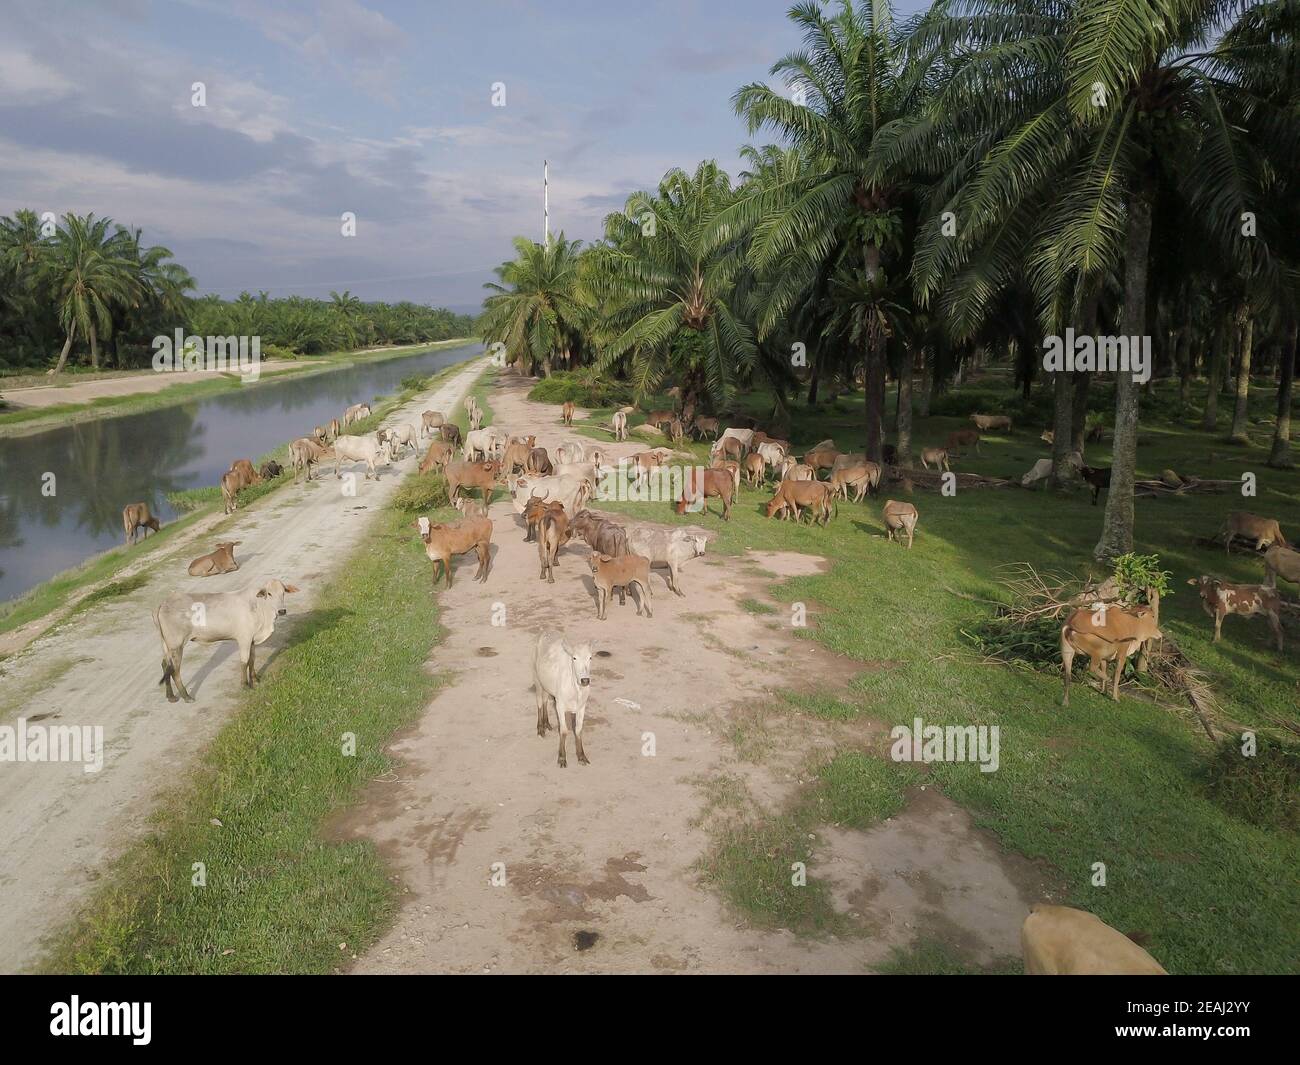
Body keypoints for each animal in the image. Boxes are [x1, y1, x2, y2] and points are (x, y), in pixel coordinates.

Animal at [154, 579, 299, 702]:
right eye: (269, 593)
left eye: (283, 592)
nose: (282, 611)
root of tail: (164, 602)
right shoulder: (244, 638)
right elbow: (244, 661)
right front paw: (245, 685)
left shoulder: (251, 640)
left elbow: (252, 660)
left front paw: (255, 679)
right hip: (177, 645)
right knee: (175, 671)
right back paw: (186, 696)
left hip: (166, 645)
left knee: (165, 664)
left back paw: (171, 696)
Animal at [533, 629, 595, 769]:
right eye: (574, 658)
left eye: (590, 657)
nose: (585, 680)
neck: (576, 690)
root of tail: (547, 631)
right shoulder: (560, 705)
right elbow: (564, 730)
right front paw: (562, 757)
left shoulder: (582, 706)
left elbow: (578, 729)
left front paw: (581, 756)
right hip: (537, 678)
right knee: (539, 702)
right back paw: (540, 728)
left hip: (548, 684)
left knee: (545, 700)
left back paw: (547, 723)